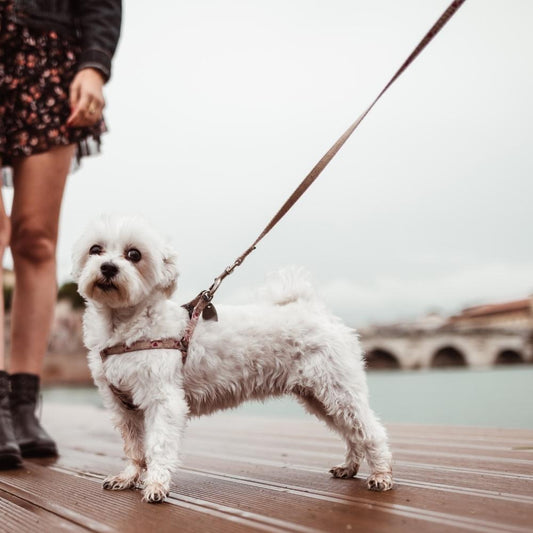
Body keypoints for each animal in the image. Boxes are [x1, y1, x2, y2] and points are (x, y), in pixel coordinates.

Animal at [71, 214, 390, 500]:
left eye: (134, 254)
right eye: (95, 250)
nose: (108, 267)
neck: (125, 328)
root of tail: (315, 310)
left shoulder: (164, 400)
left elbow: (159, 445)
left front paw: (156, 485)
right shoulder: (123, 407)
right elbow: (135, 449)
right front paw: (129, 477)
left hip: (338, 391)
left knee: (371, 432)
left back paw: (381, 476)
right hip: (320, 398)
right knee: (352, 433)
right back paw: (349, 467)